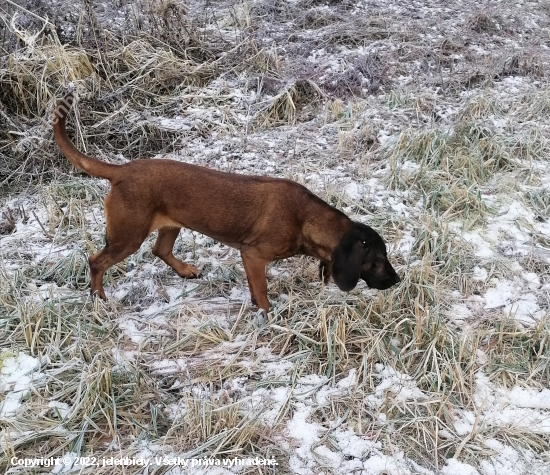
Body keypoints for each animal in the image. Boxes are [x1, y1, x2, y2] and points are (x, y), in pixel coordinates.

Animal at [54, 93, 402, 312]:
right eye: (377, 259)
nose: (397, 281)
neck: (306, 219)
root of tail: (121, 171)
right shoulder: (253, 256)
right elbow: (261, 292)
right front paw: (267, 315)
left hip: (170, 224)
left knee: (160, 250)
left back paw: (185, 271)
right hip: (127, 236)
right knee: (96, 262)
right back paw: (98, 297)